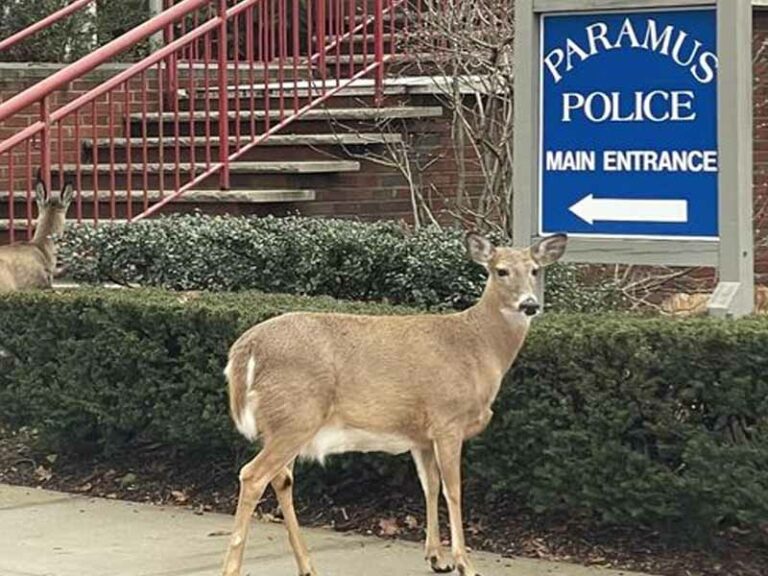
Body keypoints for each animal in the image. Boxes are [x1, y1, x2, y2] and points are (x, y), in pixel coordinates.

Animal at [221, 232, 568, 576]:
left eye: (535, 270)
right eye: (501, 270)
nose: (530, 304)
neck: (479, 348)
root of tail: (245, 349)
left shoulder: (422, 435)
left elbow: (430, 485)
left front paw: (436, 558)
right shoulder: (448, 420)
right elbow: (453, 490)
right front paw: (464, 563)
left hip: (285, 423)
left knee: (281, 479)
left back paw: (307, 566)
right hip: (296, 417)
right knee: (252, 475)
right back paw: (234, 568)